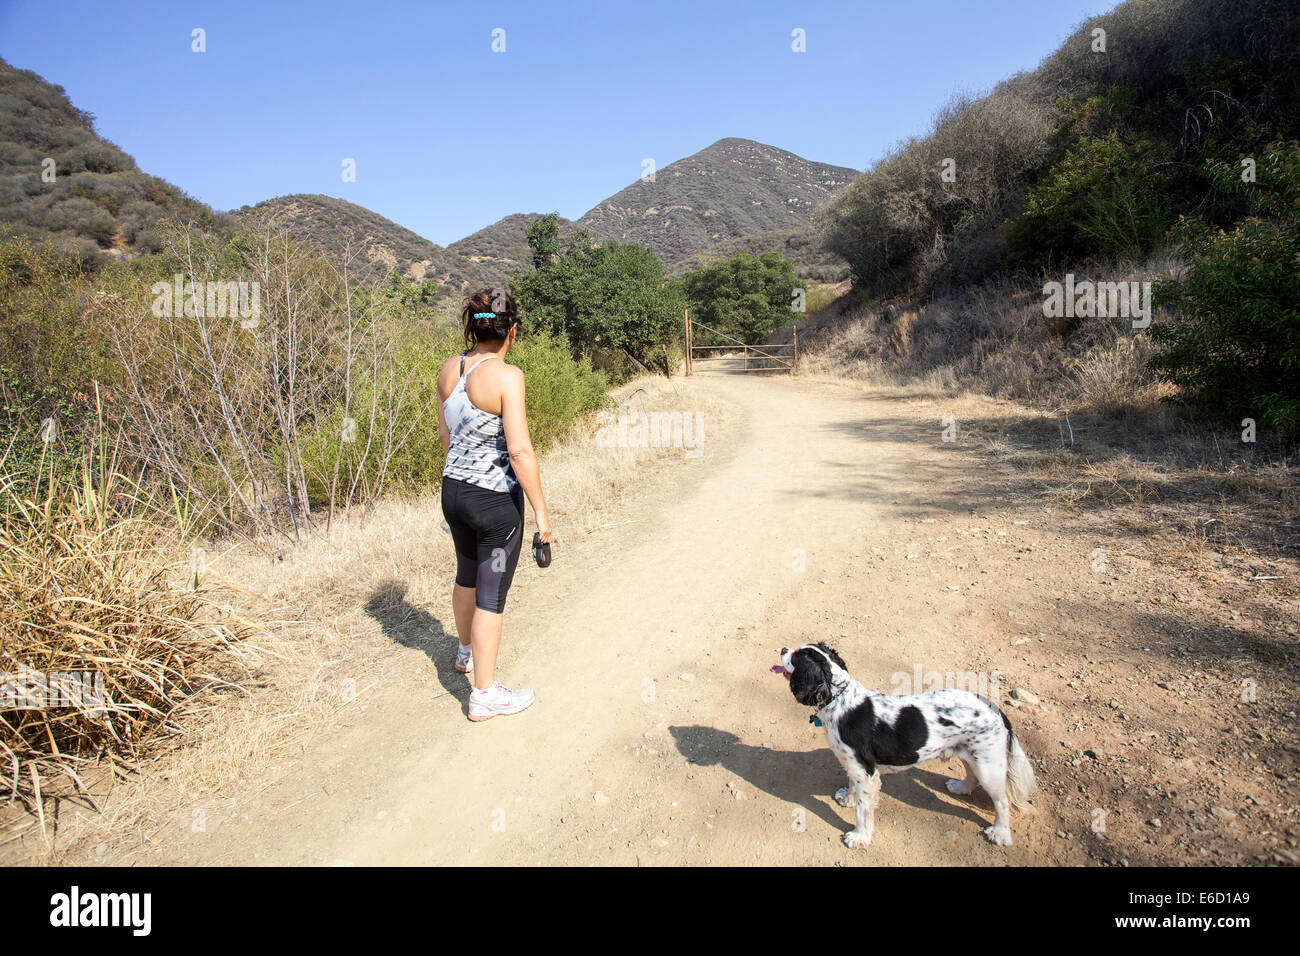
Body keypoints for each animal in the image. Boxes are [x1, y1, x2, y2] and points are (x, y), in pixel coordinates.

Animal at [769, 647, 1034, 848]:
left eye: (795, 657)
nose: (782, 649)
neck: (841, 700)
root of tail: (995, 709)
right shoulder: (855, 767)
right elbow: (853, 787)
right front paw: (848, 798)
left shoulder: (866, 771)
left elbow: (864, 811)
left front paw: (859, 837)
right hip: (971, 754)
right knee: (971, 775)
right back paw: (960, 787)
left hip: (989, 766)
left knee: (1002, 803)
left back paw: (1000, 833)